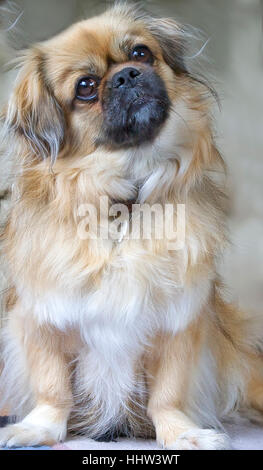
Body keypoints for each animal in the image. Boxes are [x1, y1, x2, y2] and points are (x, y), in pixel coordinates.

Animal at [0, 2, 263, 452]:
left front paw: (182, 433)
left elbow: (168, 395)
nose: (126, 75)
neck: (125, 206)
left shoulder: (179, 323)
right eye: (86, 87)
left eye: (141, 53)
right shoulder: (41, 318)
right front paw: (38, 429)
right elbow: (52, 389)